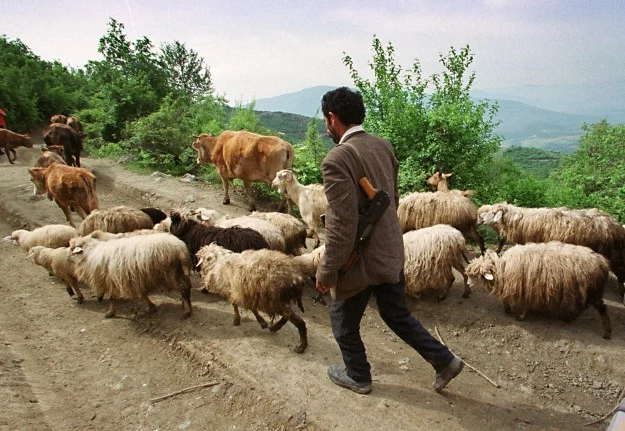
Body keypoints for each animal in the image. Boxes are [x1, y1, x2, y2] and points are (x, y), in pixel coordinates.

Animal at [466, 243, 612, 340]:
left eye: (477, 275)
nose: (467, 284)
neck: (503, 268)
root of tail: (603, 262)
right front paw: (509, 309)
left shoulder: (523, 286)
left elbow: (521, 302)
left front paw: (518, 315)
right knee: (582, 307)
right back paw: (569, 318)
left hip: (593, 291)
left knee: (602, 309)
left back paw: (606, 333)